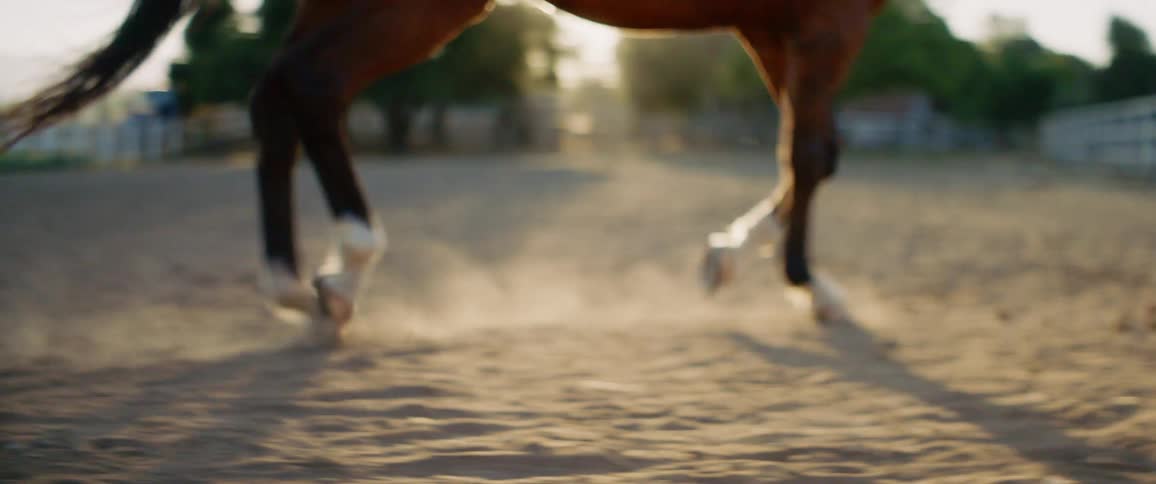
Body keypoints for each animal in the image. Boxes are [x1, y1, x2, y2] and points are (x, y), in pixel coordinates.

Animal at [1, 0, 884, 345]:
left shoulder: (772, 24)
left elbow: (807, 151)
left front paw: (723, 259)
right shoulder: (825, 23)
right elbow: (809, 154)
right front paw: (814, 288)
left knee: (274, 96)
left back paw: (298, 286)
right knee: (312, 85)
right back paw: (347, 266)